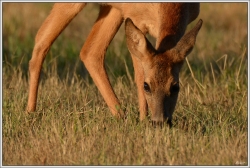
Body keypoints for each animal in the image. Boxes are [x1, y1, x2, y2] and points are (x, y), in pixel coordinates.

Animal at [26, 2, 203, 126]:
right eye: (147, 86)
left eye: (176, 87)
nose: (159, 122)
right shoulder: (135, 19)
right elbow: (139, 76)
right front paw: (143, 121)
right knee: (41, 40)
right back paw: (31, 113)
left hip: (113, 10)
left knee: (90, 52)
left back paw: (121, 116)